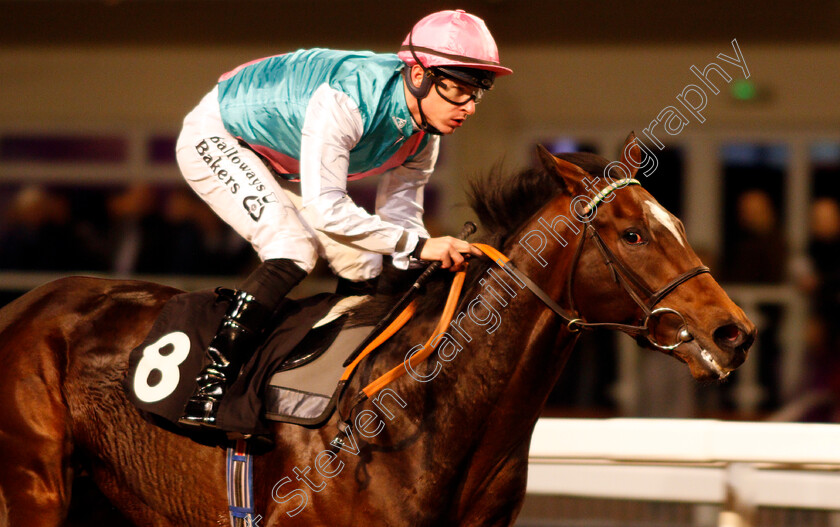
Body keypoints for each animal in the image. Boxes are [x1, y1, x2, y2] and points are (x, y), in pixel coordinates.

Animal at [0, 134, 756, 524]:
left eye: (675, 224)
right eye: (632, 233)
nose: (734, 332)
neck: (430, 406)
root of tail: (24, 307)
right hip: (35, 487)